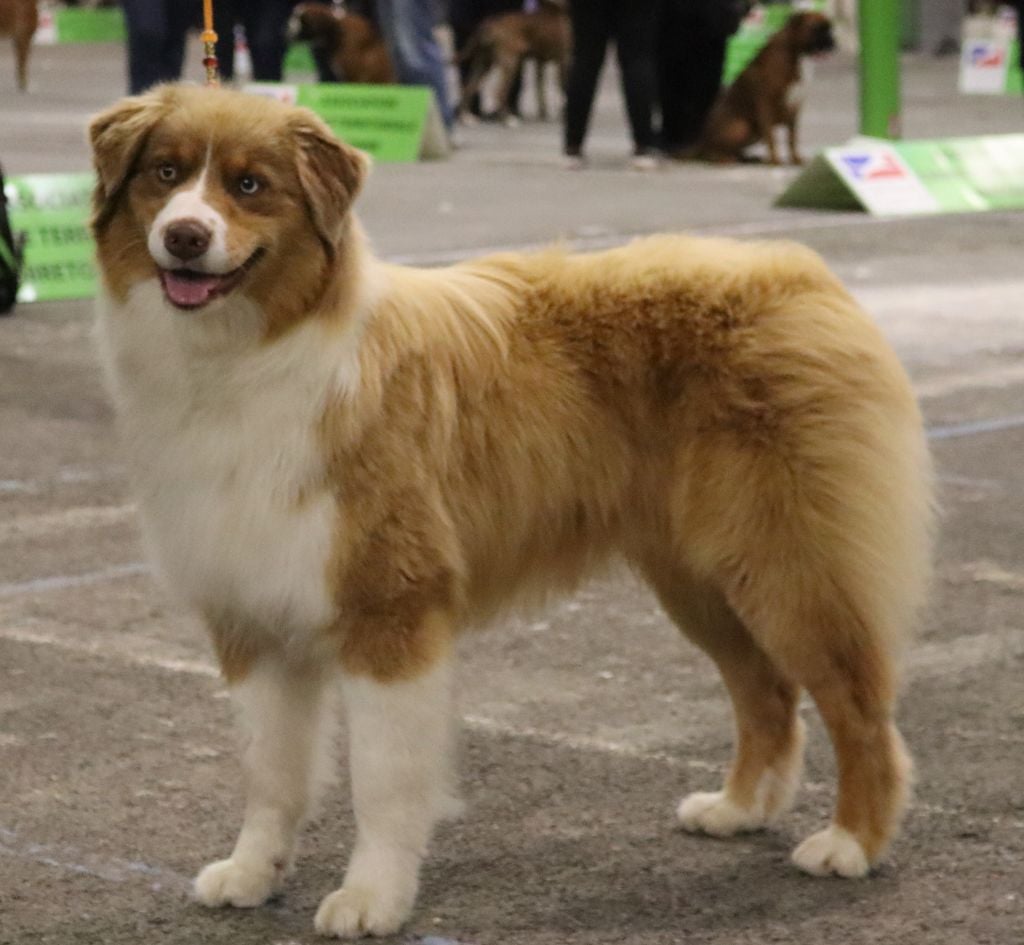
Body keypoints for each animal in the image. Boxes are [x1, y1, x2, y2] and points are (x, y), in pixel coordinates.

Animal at [89, 84, 933, 939]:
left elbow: (382, 778)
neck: (248, 357)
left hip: (789, 564)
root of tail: (803, 272)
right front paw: (252, 871)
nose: (185, 236)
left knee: (859, 707)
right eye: (164, 174)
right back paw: (737, 808)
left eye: (250, 185)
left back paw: (850, 842)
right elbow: (271, 770)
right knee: (767, 693)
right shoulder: (251, 614)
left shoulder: (389, 610)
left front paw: (372, 897)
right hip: (700, 576)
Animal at [698, 11, 835, 165]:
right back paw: (723, 158)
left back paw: (749, 158)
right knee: (710, 152)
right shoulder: (767, 105)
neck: (794, 53)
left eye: (830, 28)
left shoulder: (794, 109)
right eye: (816, 29)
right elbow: (771, 136)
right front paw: (775, 159)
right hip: (741, 127)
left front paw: (795, 158)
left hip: (754, 133)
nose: (832, 40)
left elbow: (792, 138)